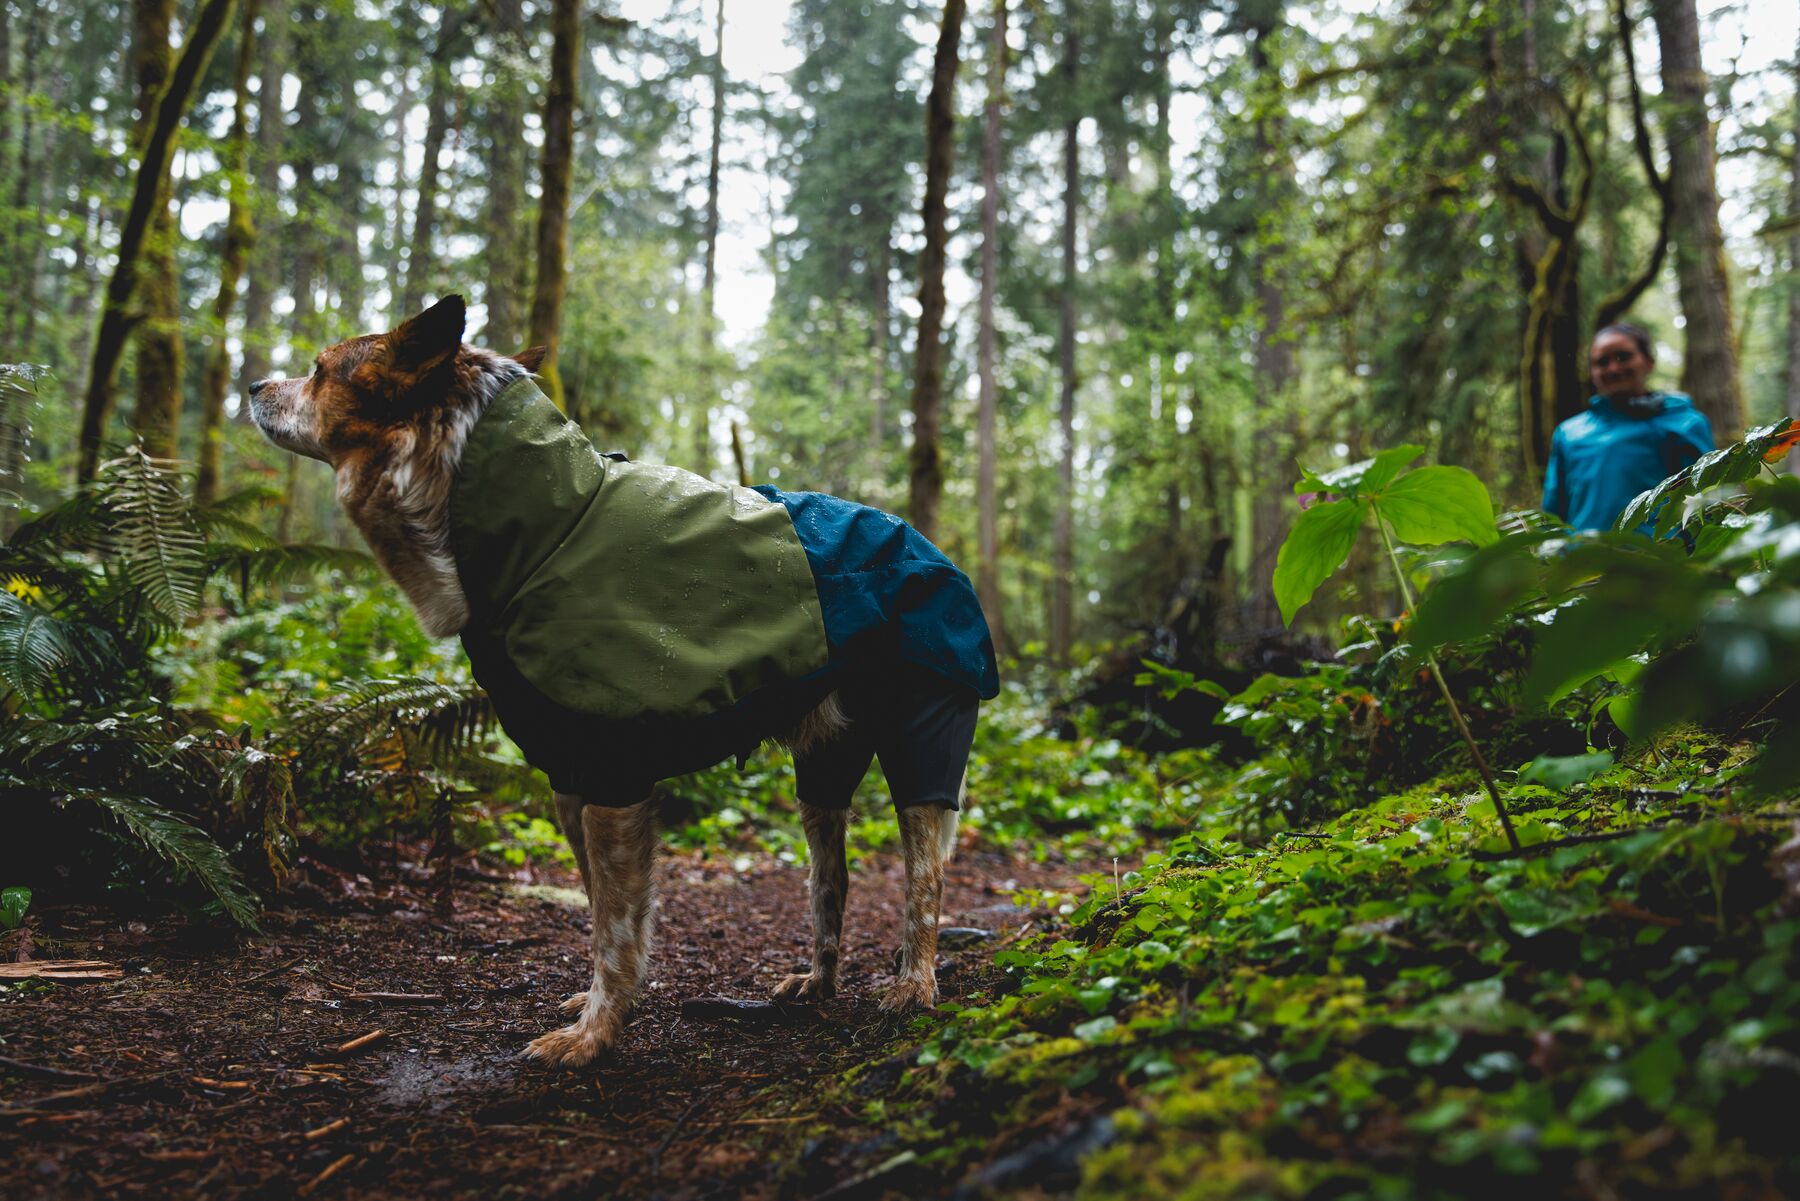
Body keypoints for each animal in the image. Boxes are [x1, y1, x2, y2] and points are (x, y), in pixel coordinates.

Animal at [252, 295, 1000, 1065]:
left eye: (318, 370)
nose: (251, 386)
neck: (542, 528)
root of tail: (933, 548)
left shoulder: (612, 774)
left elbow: (614, 927)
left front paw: (594, 1034)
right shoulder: (569, 775)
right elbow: (606, 915)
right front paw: (604, 1011)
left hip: (922, 739)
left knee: (925, 882)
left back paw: (914, 985)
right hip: (822, 773)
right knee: (833, 881)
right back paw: (817, 981)